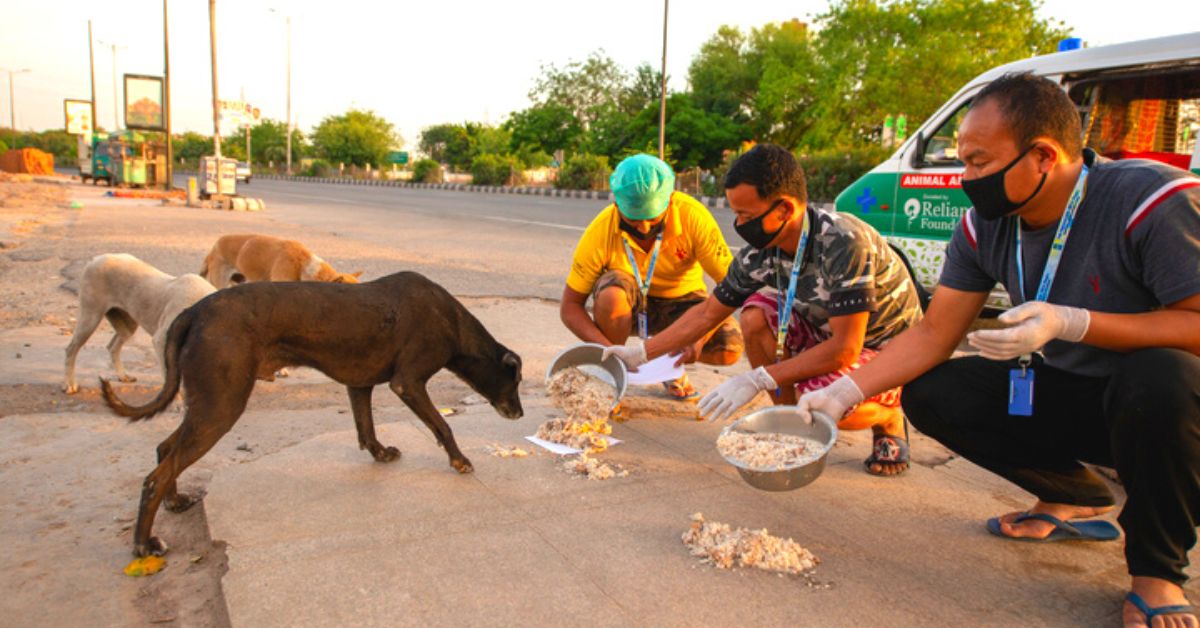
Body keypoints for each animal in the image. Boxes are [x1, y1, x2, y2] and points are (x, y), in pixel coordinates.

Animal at [65, 254, 217, 393]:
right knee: (71, 349)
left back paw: (123, 376)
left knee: (112, 346)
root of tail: (95, 259)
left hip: (128, 323)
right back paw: (70, 384)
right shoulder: (161, 341)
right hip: (90, 317)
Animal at [97, 272, 520, 557]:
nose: (519, 412)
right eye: (515, 380)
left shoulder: (359, 385)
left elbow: (366, 430)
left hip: (207, 405)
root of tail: (194, 311)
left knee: (164, 449)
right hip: (221, 406)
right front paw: (460, 460)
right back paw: (143, 544)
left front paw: (380, 453)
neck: (451, 319)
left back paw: (174, 501)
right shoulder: (408, 383)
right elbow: (443, 426)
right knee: (156, 474)